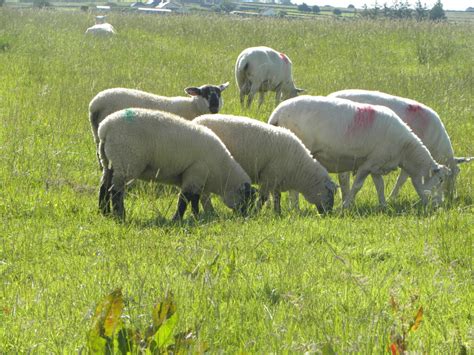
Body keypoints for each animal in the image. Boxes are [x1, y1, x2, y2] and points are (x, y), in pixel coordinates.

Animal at [90, 82, 231, 166]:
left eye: (219, 94)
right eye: (205, 94)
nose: (214, 108)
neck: (193, 106)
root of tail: (95, 105)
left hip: (97, 134)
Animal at [96, 108, 258, 221]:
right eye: (247, 200)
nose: (245, 216)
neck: (221, 172)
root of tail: (105, 128)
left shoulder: (195, 179)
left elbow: (194, 199)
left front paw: (196, 217)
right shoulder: (195, 173)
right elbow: (184, 199)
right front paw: (177, 219)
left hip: (109, 161)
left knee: (104, 186)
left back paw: (104, 213)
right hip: (126, 161)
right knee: (115, 191)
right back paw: (120, 216)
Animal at [193, 114, 336, 214]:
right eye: (329, 194)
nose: (328, 214)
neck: (300, 169)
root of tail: (195, 121)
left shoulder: (276, 178)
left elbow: (277, 197)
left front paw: (277, 213)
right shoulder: (268, 177)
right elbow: (263, 198)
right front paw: (256, 212)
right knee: (204, 193)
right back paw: (210, 211)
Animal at [266, 96, 452, 210]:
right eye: (440, 180)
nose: (437, 206)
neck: (405, 150)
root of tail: (276, 114)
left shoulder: (377, 164)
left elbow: (380, 186)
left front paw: (384, 205)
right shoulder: (368, 163)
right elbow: (357, 186)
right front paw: (345, 206)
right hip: (296, 151)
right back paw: (295, 207)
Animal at [328, 88, 472, 202]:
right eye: (451, 175)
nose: (452, 197)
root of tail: (330, 95)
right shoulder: (409, 155)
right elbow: (402, 179)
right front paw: (392, 198)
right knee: (343, 176)